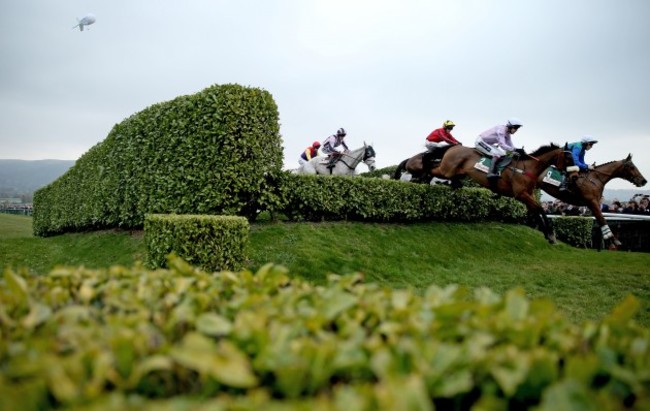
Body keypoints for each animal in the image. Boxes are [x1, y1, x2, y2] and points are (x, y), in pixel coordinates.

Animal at [432, 143, 568, 243]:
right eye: (568, 158)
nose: (566, 176)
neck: (526, 168)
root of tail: (454, 147)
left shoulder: (528, 195)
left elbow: (536, 211)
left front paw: (548, 234)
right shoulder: (521, 195)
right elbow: (540, 209)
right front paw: (550, 233)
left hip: (456, 173)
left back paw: (452, 184)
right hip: (446, 170)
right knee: (431, 169)